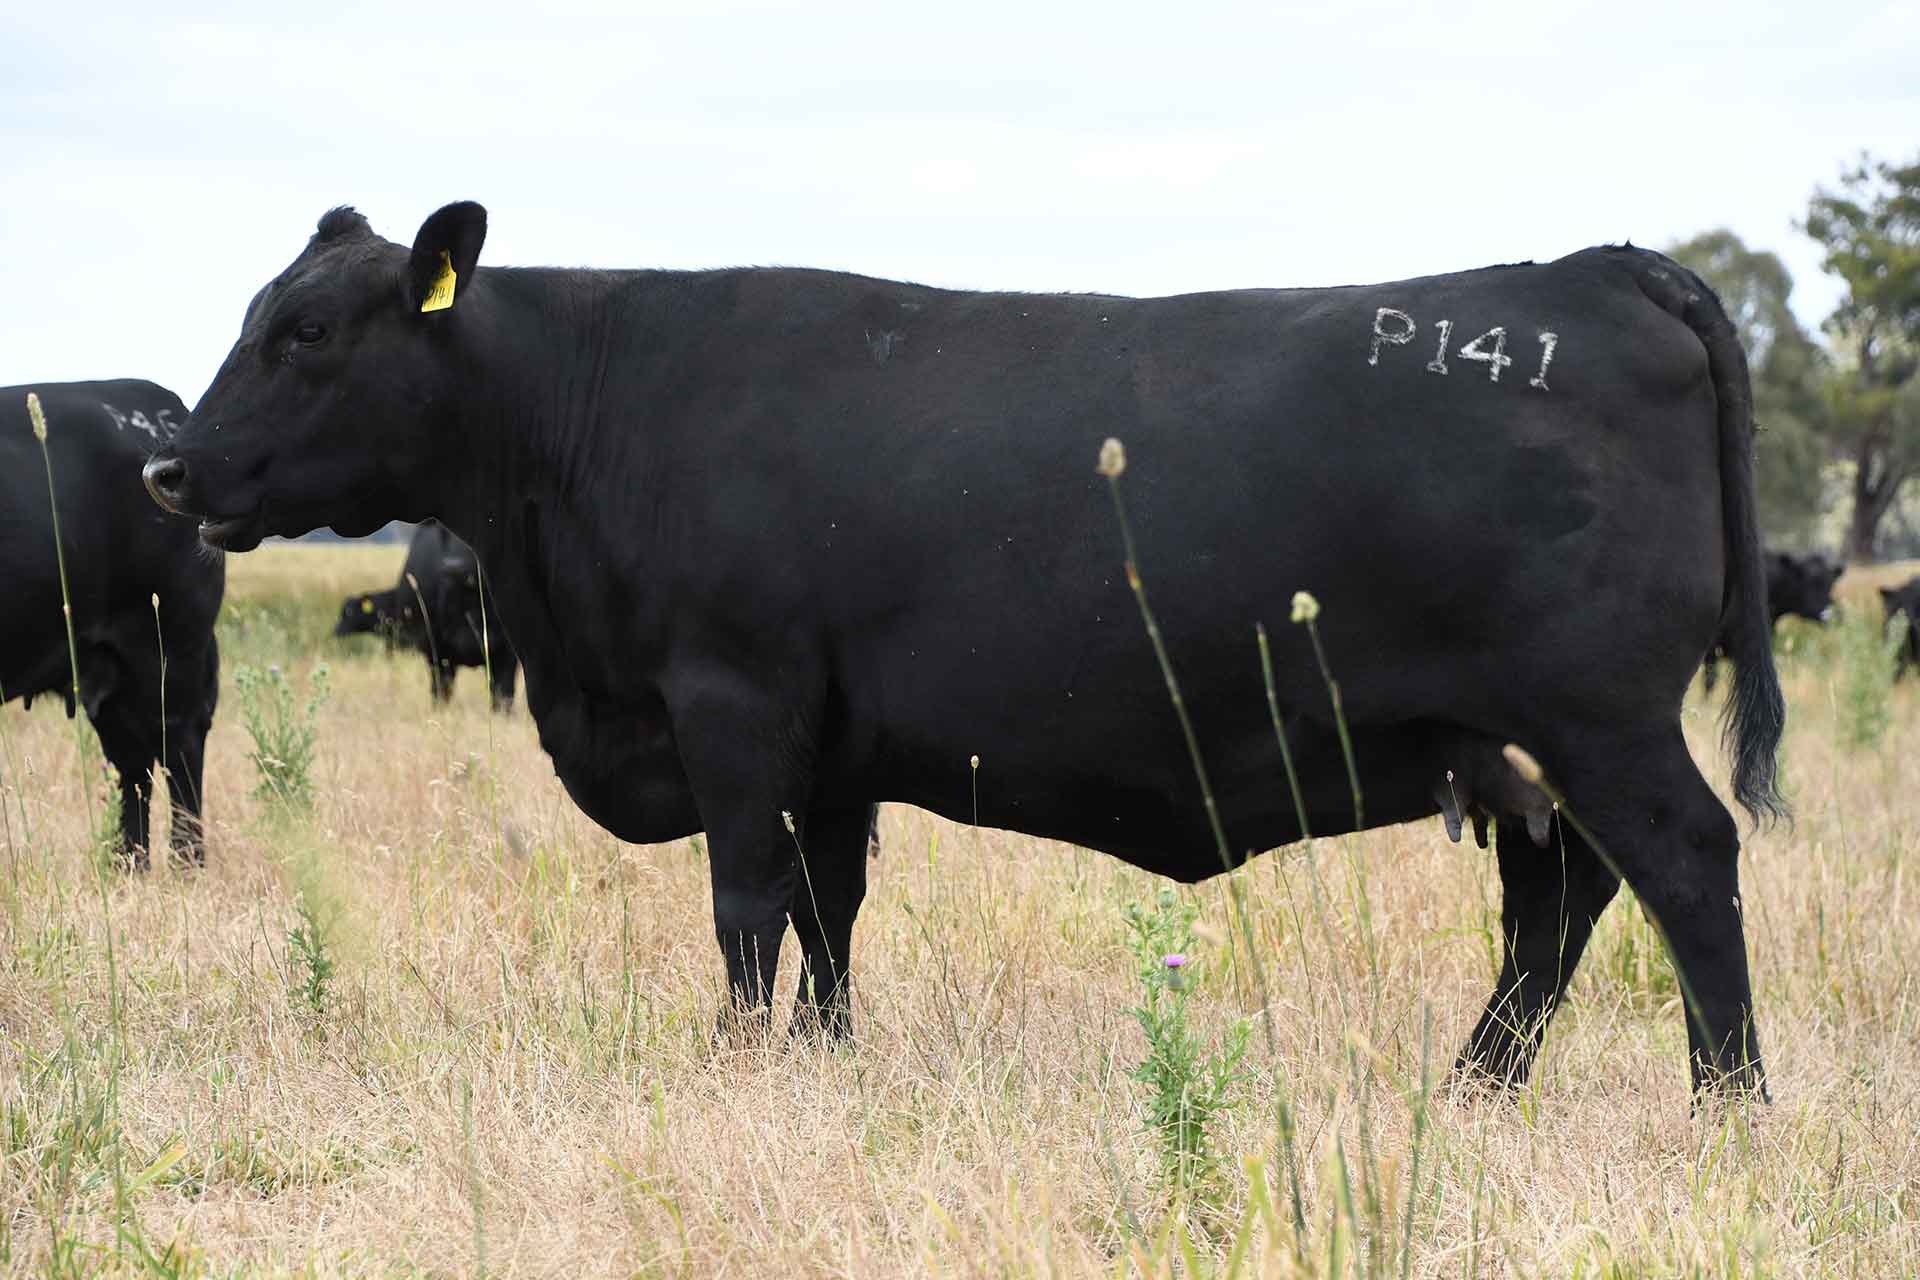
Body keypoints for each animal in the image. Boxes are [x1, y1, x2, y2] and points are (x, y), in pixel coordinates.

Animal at [4, 380, 224, 867]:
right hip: (110, 671)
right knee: (134, 765)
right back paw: (128, 865)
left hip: (168, 647)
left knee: (180, 748)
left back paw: (186, 863)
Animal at [333, 520, 518, 708]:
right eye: (444, 532)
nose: (453, 565)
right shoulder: (435, 651)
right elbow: (440, 694)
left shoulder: (507, 655)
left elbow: (503, 696)